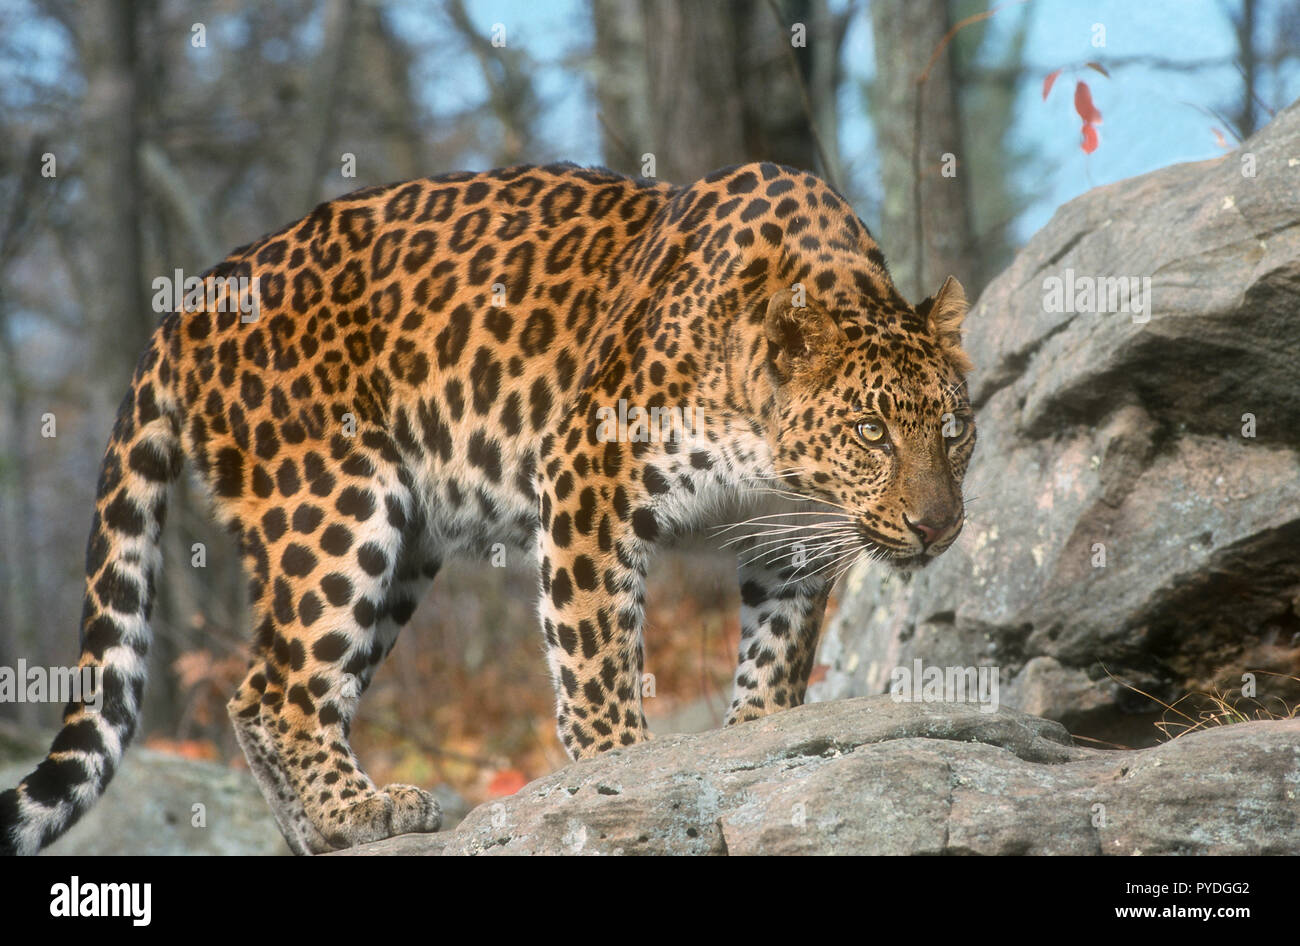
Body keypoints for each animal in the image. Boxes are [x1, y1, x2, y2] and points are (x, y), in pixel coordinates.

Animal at [0, 160, 975, 855]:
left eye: (955, 429)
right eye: (871, 431)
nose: (937, 525)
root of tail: (193, 299)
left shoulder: (791, 545)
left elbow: (775, 662)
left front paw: (753, 741)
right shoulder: (588, 474)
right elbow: (596, 662)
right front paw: (624, 777)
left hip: (405, 543)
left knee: (253, 693)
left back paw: (320, 833)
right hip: (334, 505)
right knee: (283, 692)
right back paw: (363, 811)